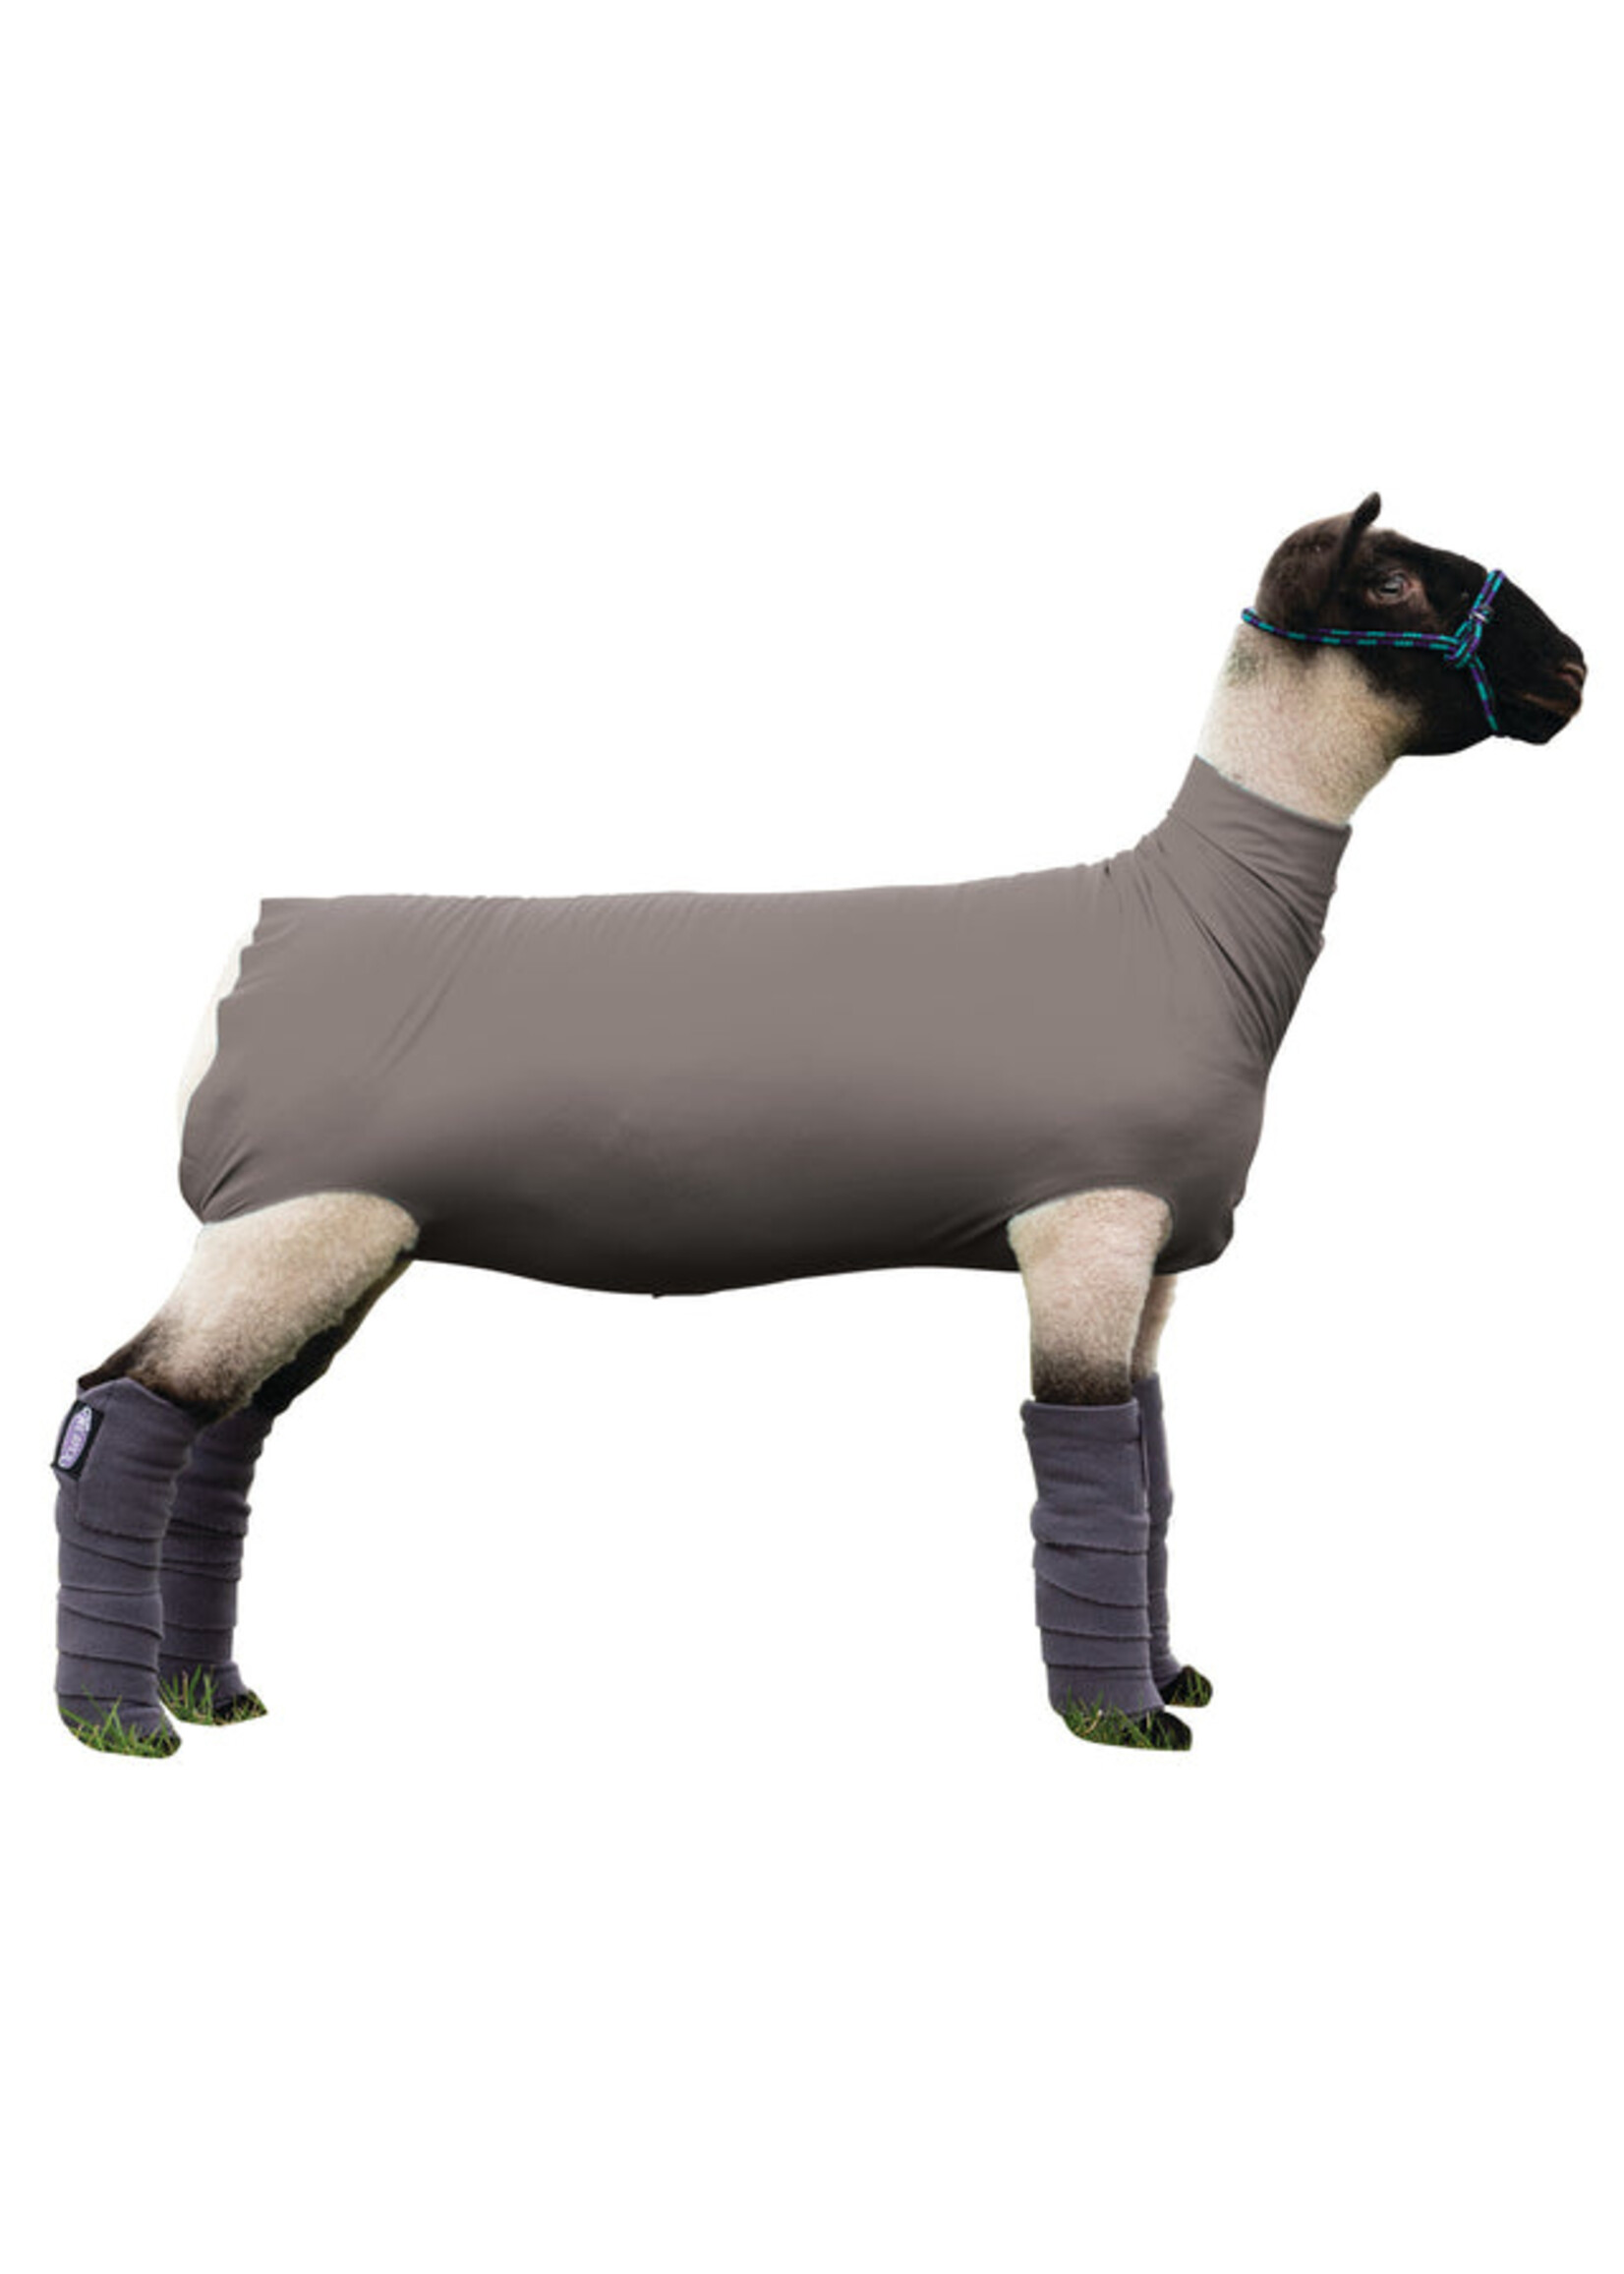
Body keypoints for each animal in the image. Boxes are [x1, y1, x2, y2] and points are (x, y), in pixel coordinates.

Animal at [50, 492, 1587, 1757]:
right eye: (1390, 579)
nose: (1572, 672)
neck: (1188, 923)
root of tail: (247, 959)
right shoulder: (1084, 1230)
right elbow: (1086, 1469)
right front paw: (1118, 1716)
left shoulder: (1154, 1258)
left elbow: (1149, 1470)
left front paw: (1169, 1677)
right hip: (287, 1224)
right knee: (121, 1413)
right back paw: (122, 1724)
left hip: (342, 1240)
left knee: (222, 1439)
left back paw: (211, 1693)